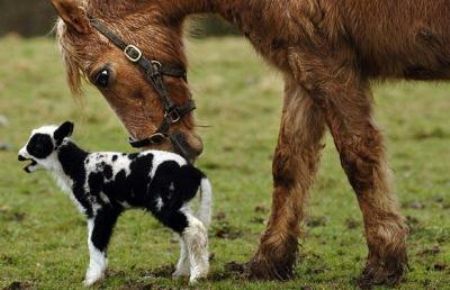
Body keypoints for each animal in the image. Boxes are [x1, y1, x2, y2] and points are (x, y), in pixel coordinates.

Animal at [18, 121, 212, 284]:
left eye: (37, 145)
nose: (20, 155)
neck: (78, 166)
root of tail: (193, 172)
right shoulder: (103, 212)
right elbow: (97, 241)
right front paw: (99, 275)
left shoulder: (101, 209)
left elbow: (94, 241)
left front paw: (91, 279)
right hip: (182, 203)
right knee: (187, 233)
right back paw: (182, 272)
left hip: (165, 203)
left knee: (195, 229)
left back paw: (197, 276)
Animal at [49, 0, 450, 288]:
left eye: (103, 76)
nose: (162, 148)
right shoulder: (300, 69)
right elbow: (289, 164)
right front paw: (270, 260)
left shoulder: (327, 65)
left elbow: (358, 158)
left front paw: (384, 260)